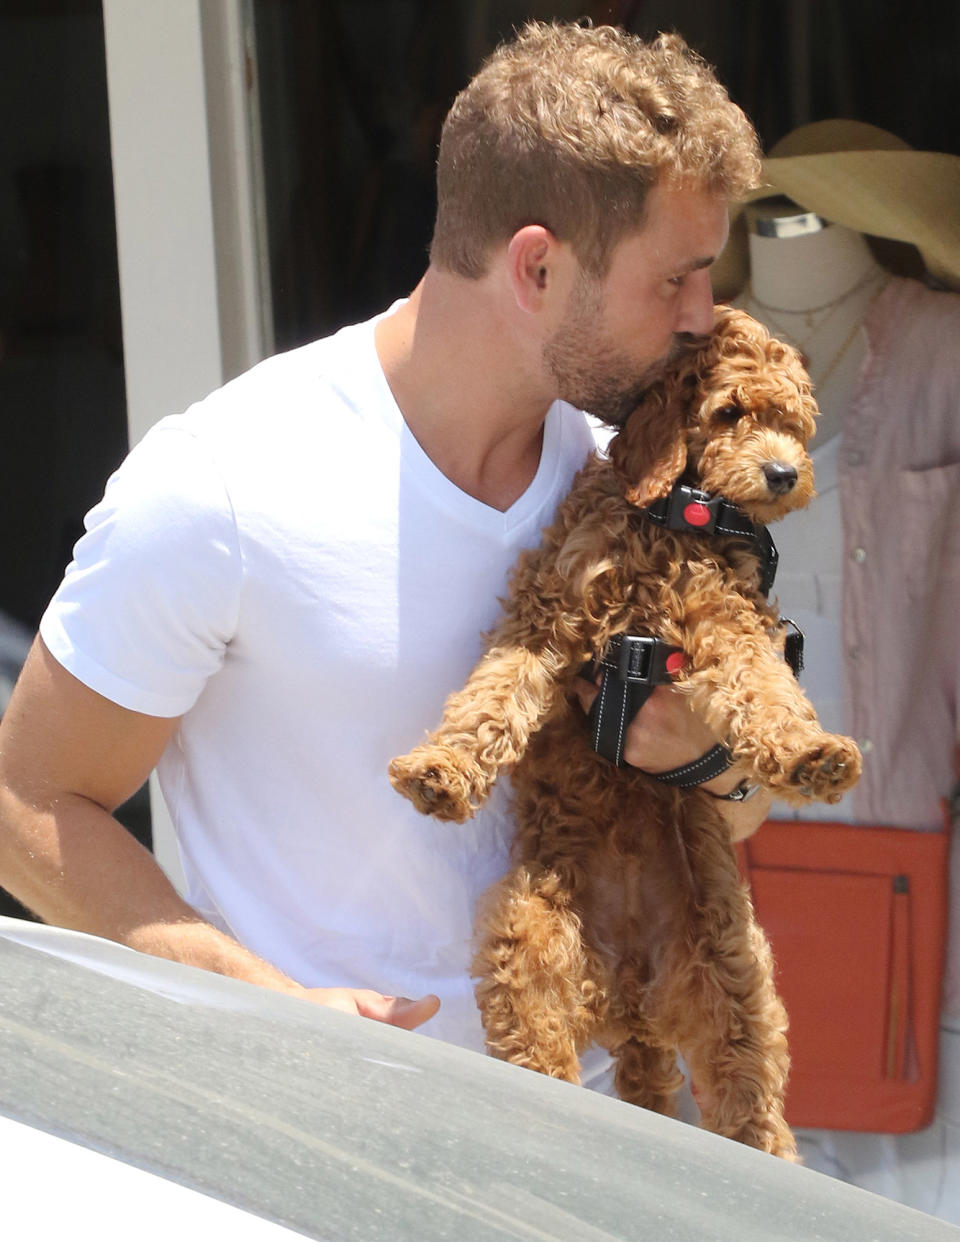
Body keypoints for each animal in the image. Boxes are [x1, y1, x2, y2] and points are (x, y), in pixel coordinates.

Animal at [389, 305, 859, 1157]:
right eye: (730, 413)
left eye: (795, 425)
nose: (784, 475)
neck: (673, 515)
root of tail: (636, 1002)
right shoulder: (548, 613)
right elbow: (494, 692)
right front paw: (440, 768)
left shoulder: (731, 622)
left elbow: (767, 687)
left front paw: (812, 754)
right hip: (530, 936)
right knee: (537, 1052)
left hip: (734, 977)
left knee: (753, 1110)